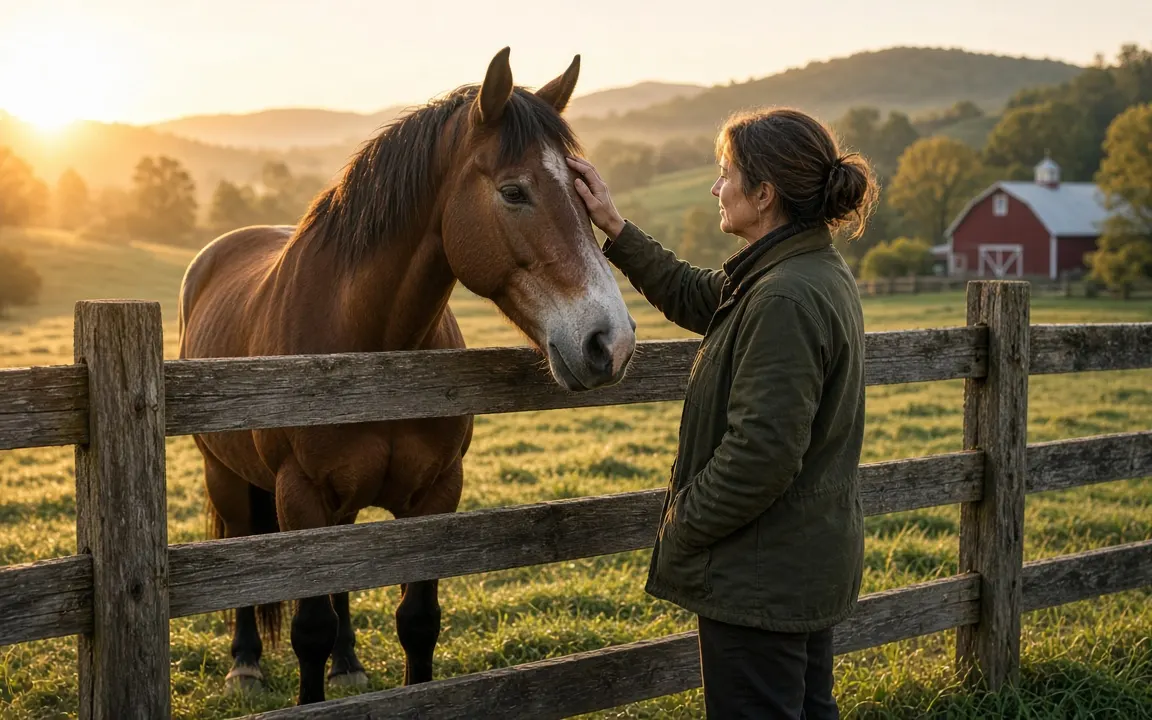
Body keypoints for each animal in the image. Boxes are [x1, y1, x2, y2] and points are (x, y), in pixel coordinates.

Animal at [177, 47, 637, 706]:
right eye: (514, 191)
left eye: (583, 191)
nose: (611, 343)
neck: (373, 356)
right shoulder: (299, 497)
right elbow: (309, 628)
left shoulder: (435, 496)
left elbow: (417, 622)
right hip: (227, 478)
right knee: (242, 548)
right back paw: (245, 666)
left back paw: (348, 664)